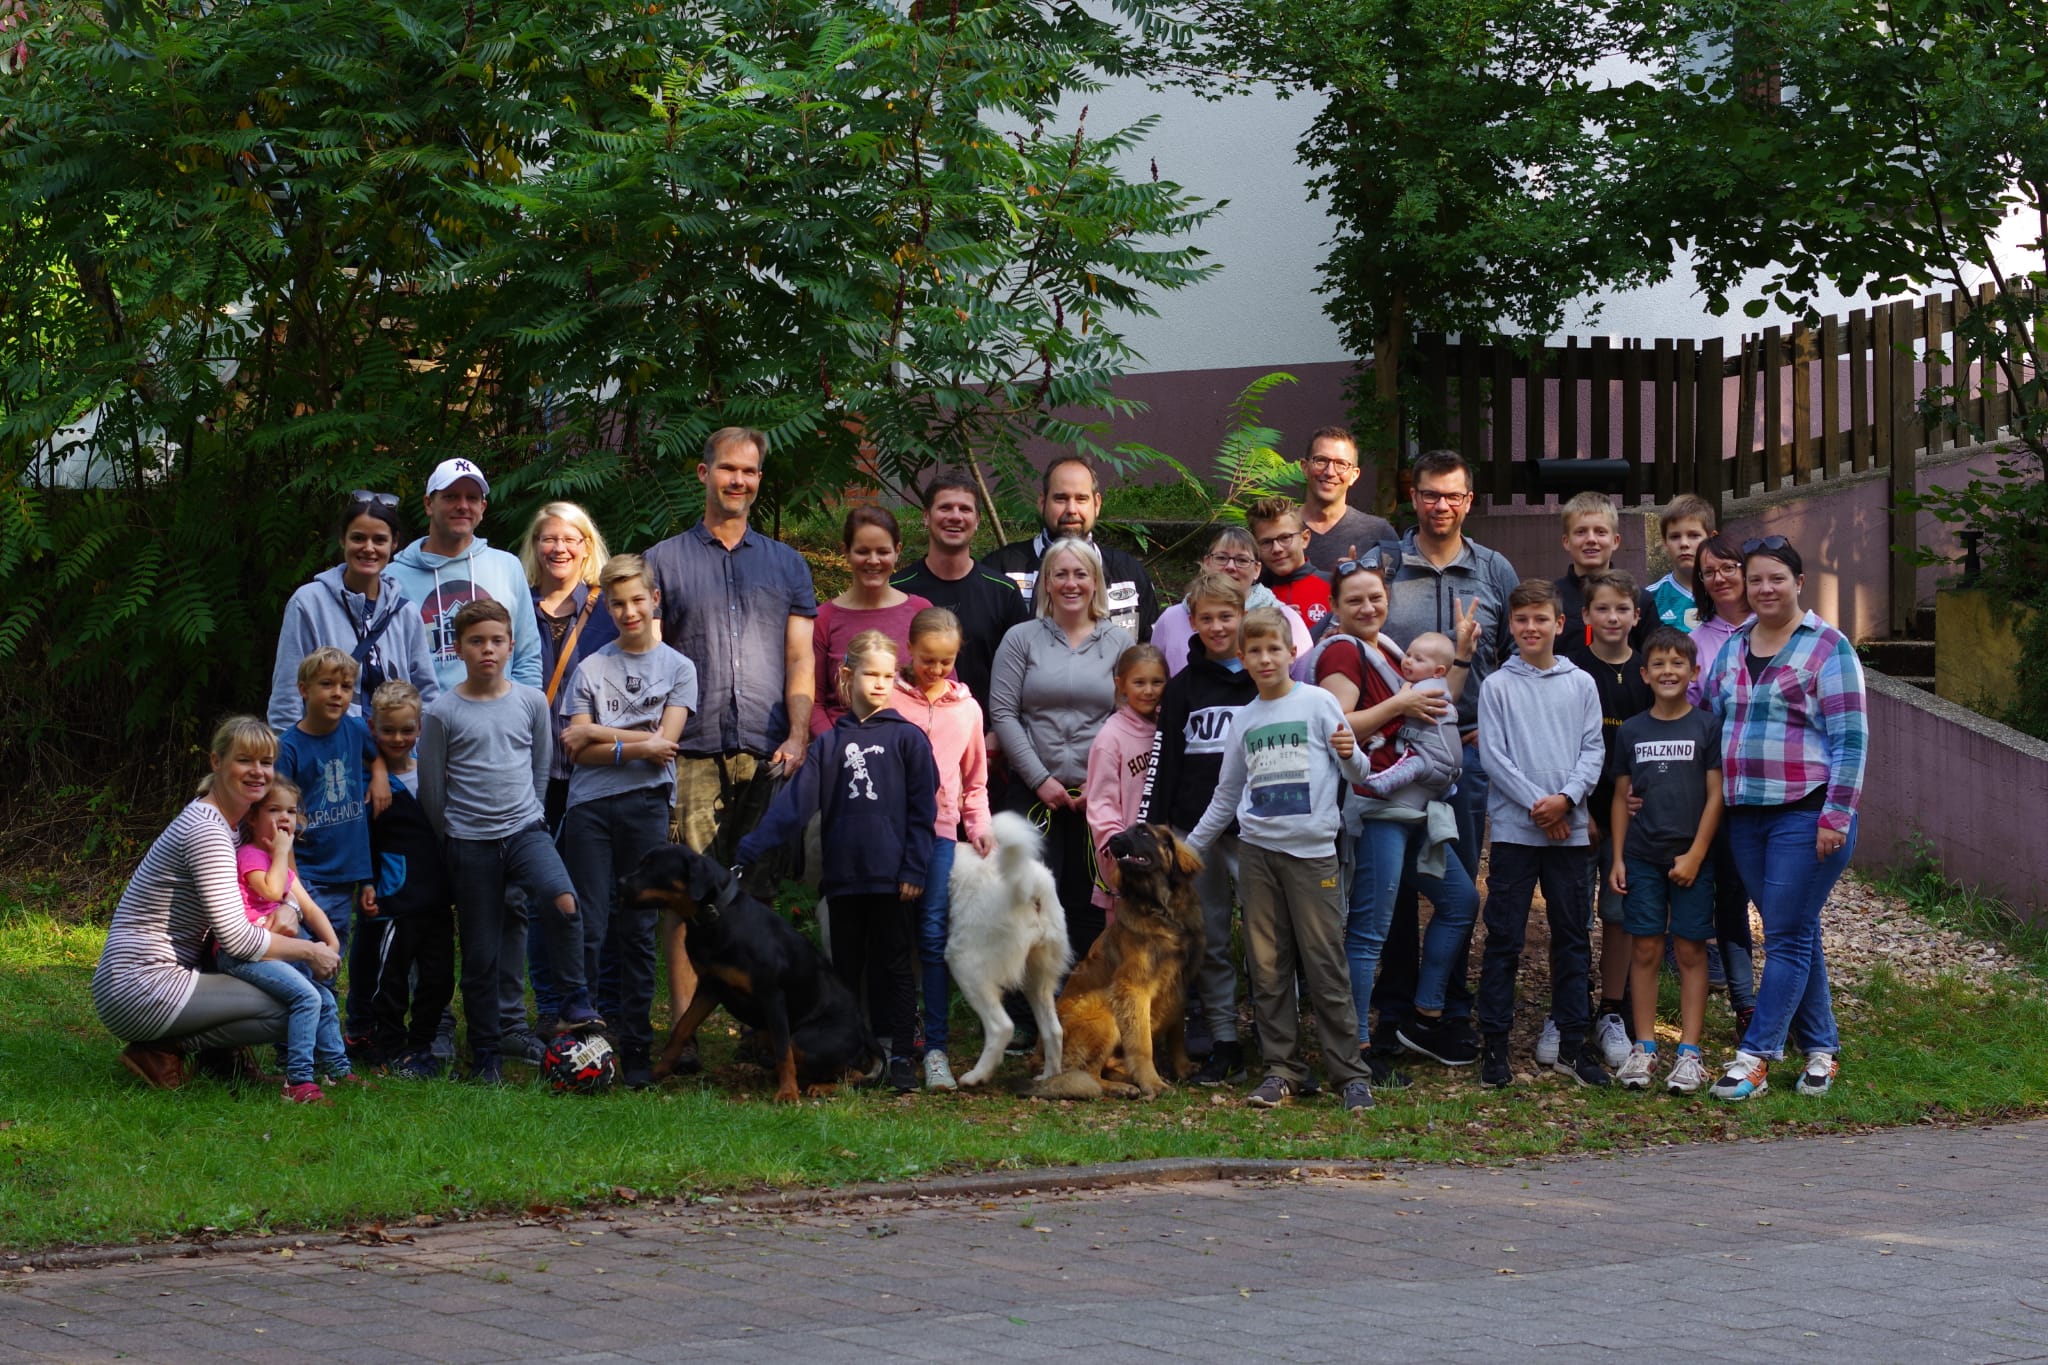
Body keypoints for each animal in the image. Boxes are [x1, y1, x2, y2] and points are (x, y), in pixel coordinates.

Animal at [622, 843, 880, 1096]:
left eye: (653, 867)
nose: (620, 882)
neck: (716, 917)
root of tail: (864, 1032)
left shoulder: (772, 995)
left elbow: (784, 1050)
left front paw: (787, 1093)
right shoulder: (710, 986)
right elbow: (682, 1028)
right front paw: (656, 1072)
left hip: (809, 1040)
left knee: (850, 1072)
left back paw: (821, 1086)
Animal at [942, 810, 1073, 1088]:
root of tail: (1032, 881)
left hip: (965, 964)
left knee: (1001, 1027)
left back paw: (976, 1076)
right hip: (1037, 978)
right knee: (1053, 1030)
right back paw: (1047, 1077)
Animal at [1032, 822, 1204, 1096]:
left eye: (1143, 832)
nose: (1112, 840)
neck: (1161, 909)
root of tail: (1038, 1058)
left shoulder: (1178, 984)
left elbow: (1177, 1033)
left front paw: (1183, 1068)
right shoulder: (1133, 989)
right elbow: (1142, 1044)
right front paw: (1153, 1083)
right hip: (1104, 1013)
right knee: (1088, 1073)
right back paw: (1120, 1087)